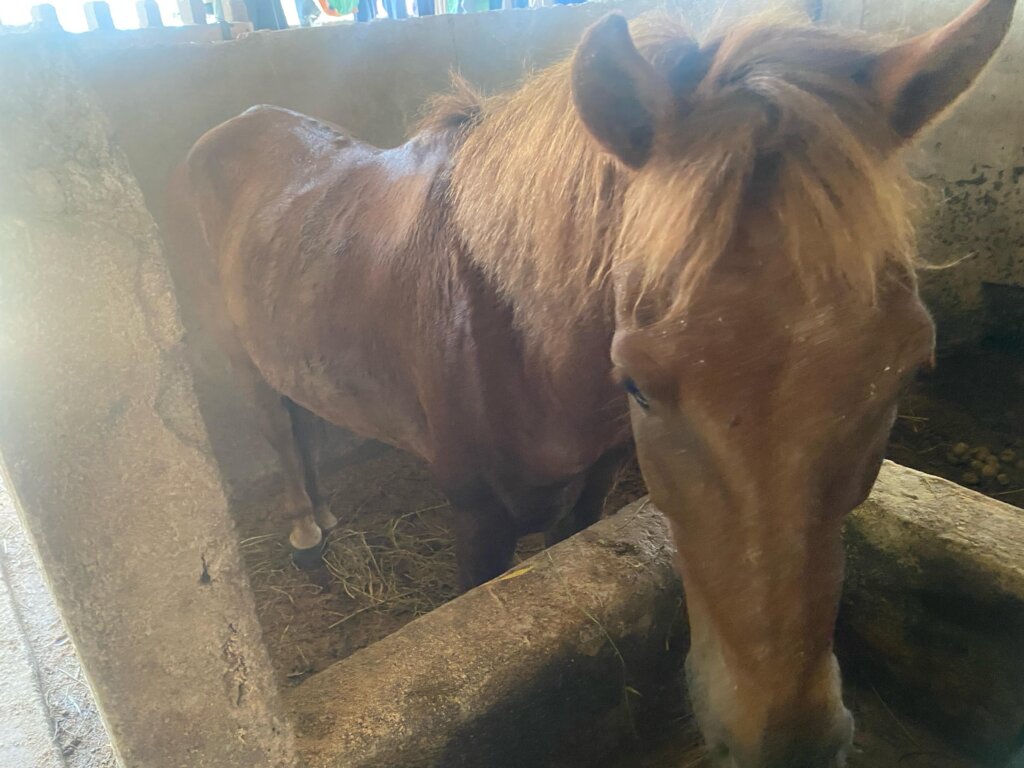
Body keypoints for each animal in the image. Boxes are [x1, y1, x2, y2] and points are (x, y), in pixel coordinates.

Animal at [163, 1, 1015, 764]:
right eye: (637, 381)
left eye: (912, 365)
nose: (787, 740)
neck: (513, 330)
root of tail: (227, 131)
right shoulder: (476, 521)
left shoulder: (589, 488)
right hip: (234, 355)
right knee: (275, 426)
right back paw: (308, 530)